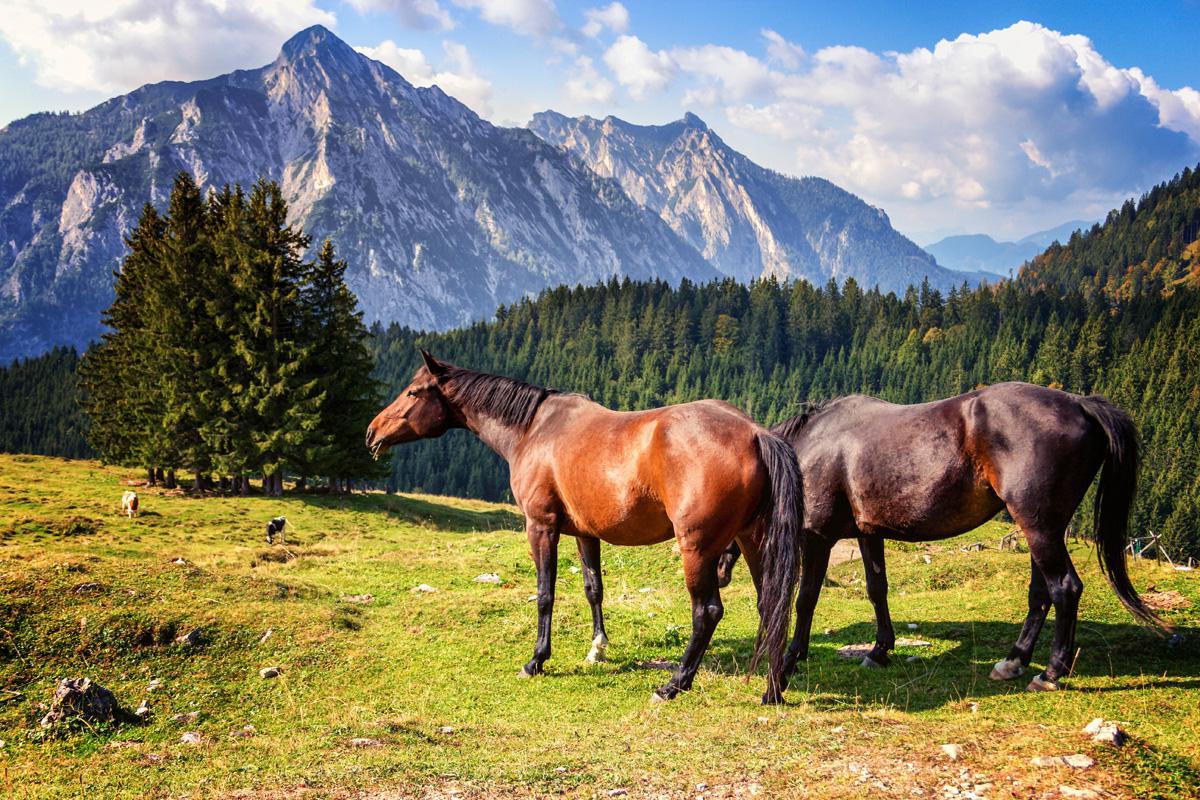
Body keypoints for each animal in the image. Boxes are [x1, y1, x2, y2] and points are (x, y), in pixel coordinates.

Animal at [365, 351, 803, 703]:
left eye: (412, 393)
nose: (372, 431)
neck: (534, 430)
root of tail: (754, 432)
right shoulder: (585, 533)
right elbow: (594, 588)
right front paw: (598, 649)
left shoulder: (541, 526)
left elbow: (545, 594)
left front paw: (537, 660)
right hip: (753, 540)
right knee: (770, 605)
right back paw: (772, 688)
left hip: (698, 549)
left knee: (707, 612)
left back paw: (674, 685)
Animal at [748, 382, 1167, 692]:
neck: (812, 446)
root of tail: (1081, 403)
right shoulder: (869, 534)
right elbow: (876, 589)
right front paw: (880, 650)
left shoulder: (817, 536)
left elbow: (806, 599)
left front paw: (790, 660)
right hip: (1043, 528)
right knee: (1040, 593)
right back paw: (1013, 661)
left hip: (1039, 527)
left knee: (1064, 587)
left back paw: (1050, 673)